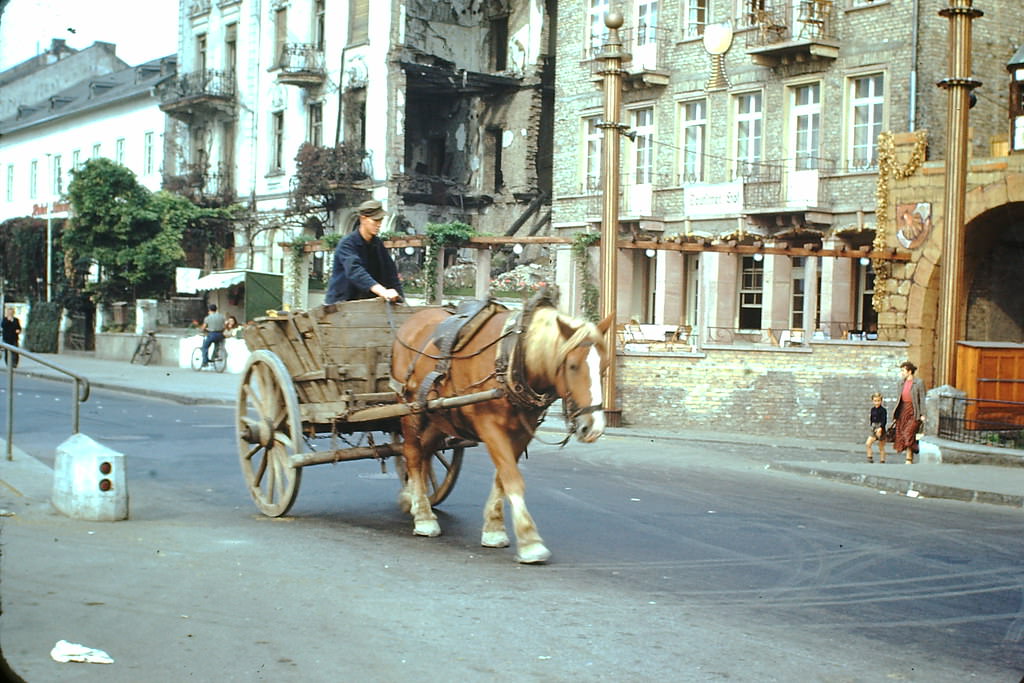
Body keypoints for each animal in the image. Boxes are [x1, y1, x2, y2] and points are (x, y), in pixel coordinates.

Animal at [391, 286, 610, 565]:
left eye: (604, 367)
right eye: (572, 366)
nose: (593, 427)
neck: (513, 356)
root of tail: (412, 321)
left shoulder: (522, 432)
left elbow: (502, 478)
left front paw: (494, 529)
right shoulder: (490, 426)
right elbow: (512, 478)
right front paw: (530, 541)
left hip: (439, 414)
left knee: (425, 452)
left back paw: (414, 499)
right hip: (410, 408)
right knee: (412, 453)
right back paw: (423, 516)